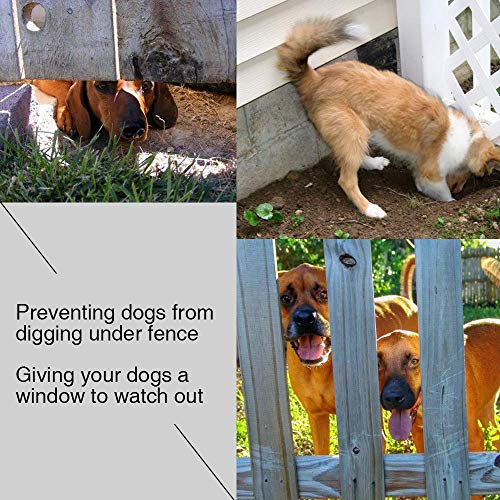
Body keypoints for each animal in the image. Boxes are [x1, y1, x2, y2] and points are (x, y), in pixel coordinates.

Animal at [278, 264, 418, 456]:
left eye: (324, 294)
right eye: (285, 298)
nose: (305, 318)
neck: (321, 369)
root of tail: (406, 301)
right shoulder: (317, 419)